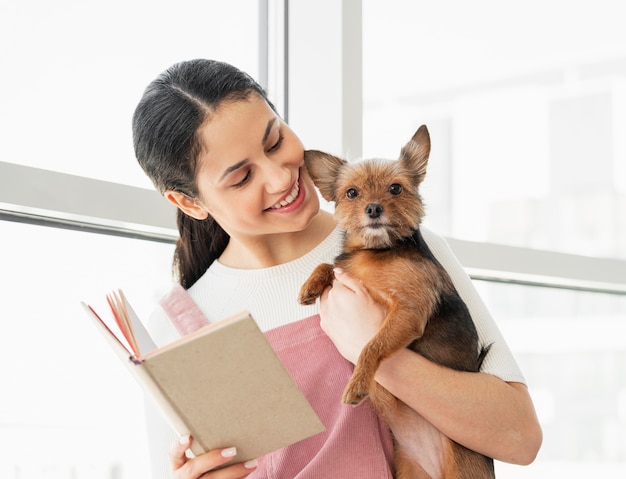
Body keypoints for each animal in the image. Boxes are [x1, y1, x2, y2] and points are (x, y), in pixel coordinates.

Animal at [298, 125, 492, 478]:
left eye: (396, 188)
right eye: (351, 193)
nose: (374, 208)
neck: (377, 250)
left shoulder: (407, 313)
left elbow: (371, 346)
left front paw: (358, 382)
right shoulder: (351, 269)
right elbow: (331, 264)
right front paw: (310, 285)